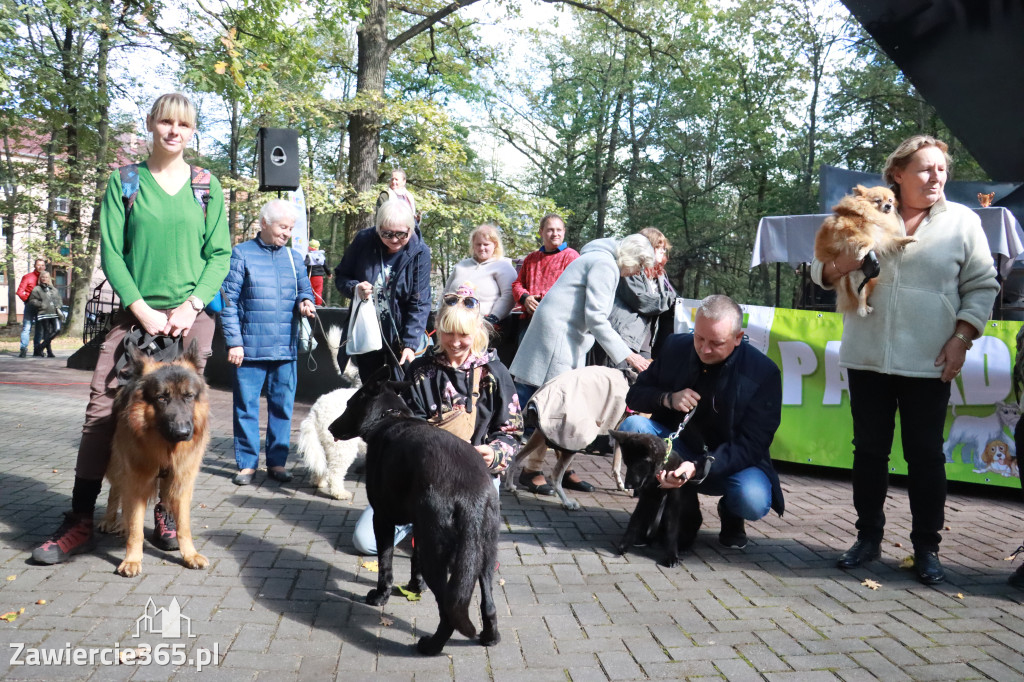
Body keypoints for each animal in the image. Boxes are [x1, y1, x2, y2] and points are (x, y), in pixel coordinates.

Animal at [96, 339, 210, 573]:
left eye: (188, 396)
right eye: (161, 398)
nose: (183, 433)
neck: (166, 449)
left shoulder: (181, 481)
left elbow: (184, 525)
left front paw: (190, 555)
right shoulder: (136, 479)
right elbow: (136, 527)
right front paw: (132, 559)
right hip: (117, 462)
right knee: (116, 490)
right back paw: (112, 519)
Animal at [329, 372, 501, 655]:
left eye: (348, 404)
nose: (331, 428)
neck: (389, 417)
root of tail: (472, 492)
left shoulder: (382, 519)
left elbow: (385, 564)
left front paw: (380, 596)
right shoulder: (420, 527)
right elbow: (414, 558)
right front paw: (414, 587)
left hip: (439, 556)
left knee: (448, 610)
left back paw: (431, 646)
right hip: (484, 553)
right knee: (488, 602)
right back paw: (490, 636)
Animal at [606, 430, 712, 569]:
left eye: (637, 465)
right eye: (627, 464)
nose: (627, 486)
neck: (659, 472)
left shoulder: (673, 503)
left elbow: (672, 530)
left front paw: (672, 556)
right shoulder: (645, 499)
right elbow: (634, 521)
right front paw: (624, 544)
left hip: (694, 520)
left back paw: (683, 547)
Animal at [815, 183, 921, 315]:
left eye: (890, 200)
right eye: (878, 201)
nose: (888, 206)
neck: (875, 214)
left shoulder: (882, 240)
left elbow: (894, 240)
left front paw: (909, 238)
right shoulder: (847, 230)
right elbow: (869, 240)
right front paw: (862, 252)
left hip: (864, 277)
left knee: (861, 294)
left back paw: (864, 307)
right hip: (849, 279)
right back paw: (862, 309)